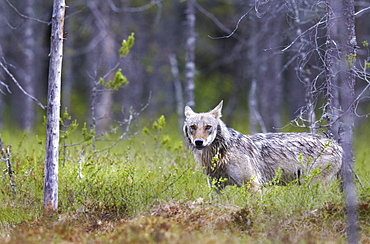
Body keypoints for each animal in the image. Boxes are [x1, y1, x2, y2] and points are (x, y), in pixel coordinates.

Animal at [184, 100, 342, 192]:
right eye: (193, 127)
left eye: (208, 127)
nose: (199, 142)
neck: (220, 152)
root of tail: (337, 145)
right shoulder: (216, 188)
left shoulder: (253, 185)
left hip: (312, 185)